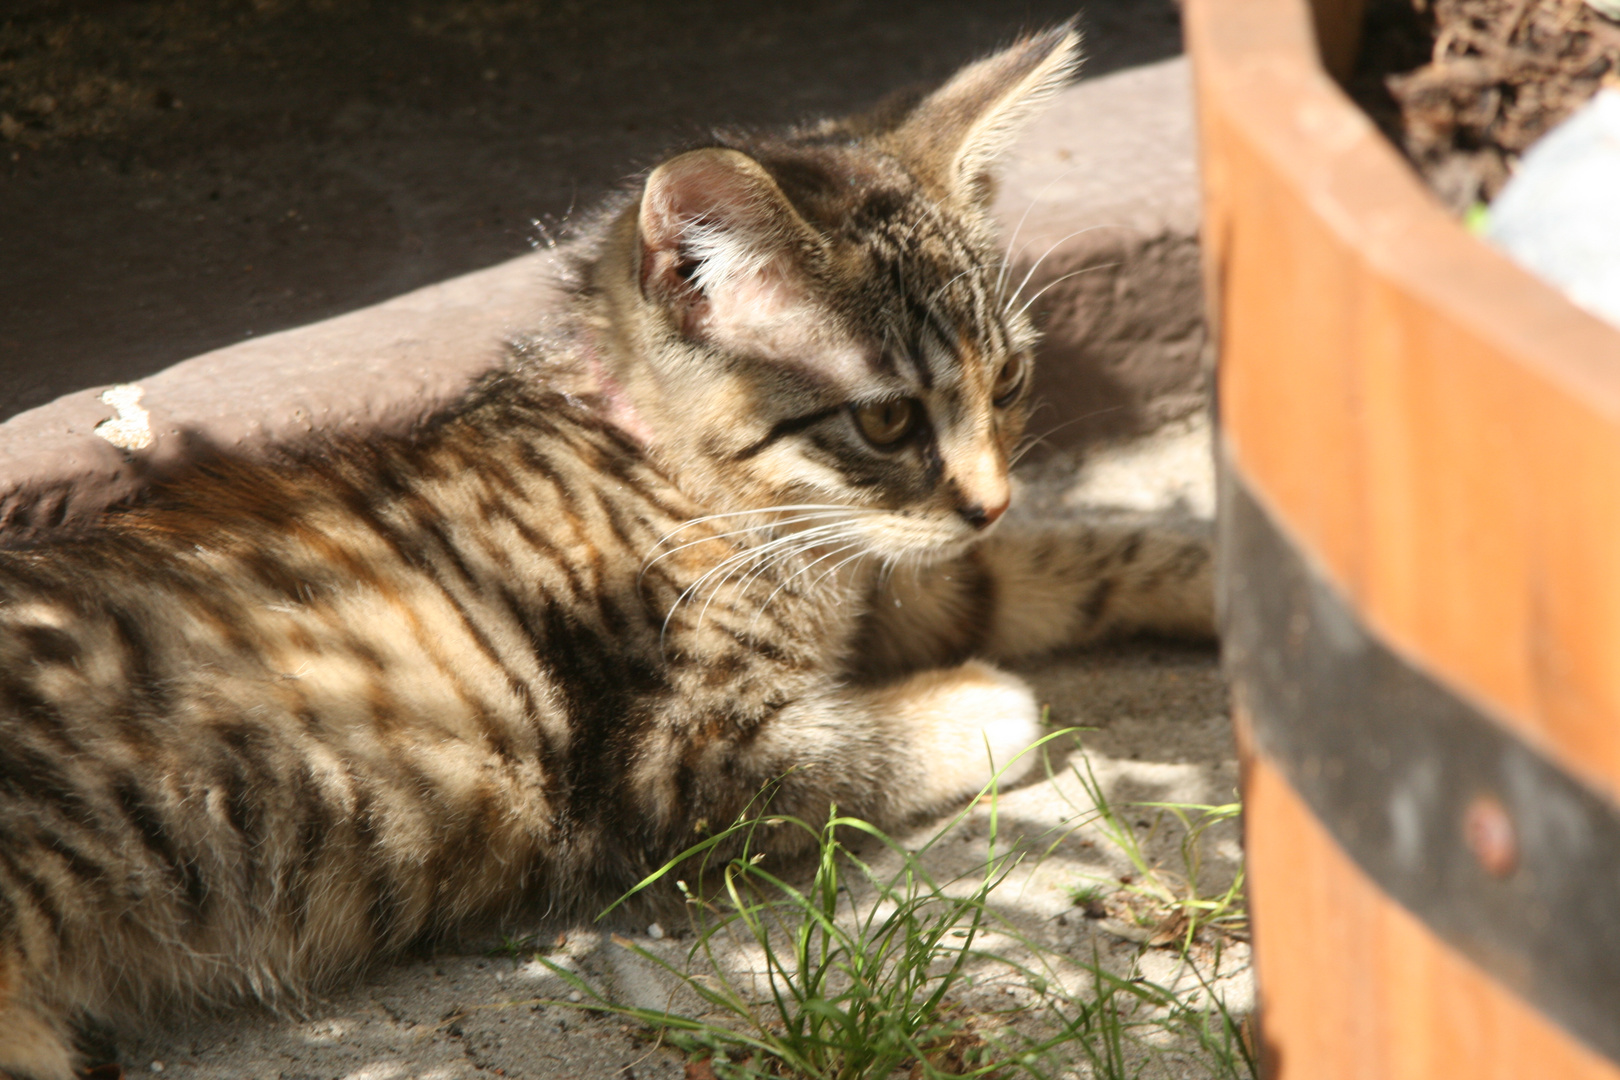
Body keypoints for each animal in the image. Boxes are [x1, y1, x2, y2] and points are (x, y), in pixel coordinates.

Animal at [0, 27, 1205, 1080]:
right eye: (888, 420)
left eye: (1009, 383)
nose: (991, 498)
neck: (680, 472)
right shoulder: (671, 768)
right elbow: (856, 748)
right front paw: (986, 703)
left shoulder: (890, 569)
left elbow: (1040, 567)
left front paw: (1203, 573)